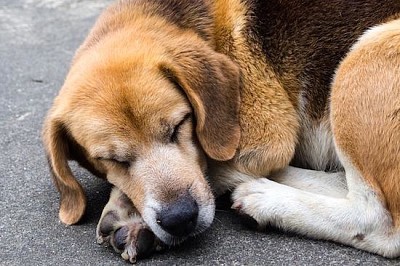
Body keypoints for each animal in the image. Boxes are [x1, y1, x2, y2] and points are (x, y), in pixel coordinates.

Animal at [43, 0, 400, 262]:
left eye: (179, 126)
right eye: (111, 160)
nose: (180, 219)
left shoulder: (267, 141)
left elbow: (208, 161)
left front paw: (128, 210)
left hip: (365, 54)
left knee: (377, 221)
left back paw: (264, 199)